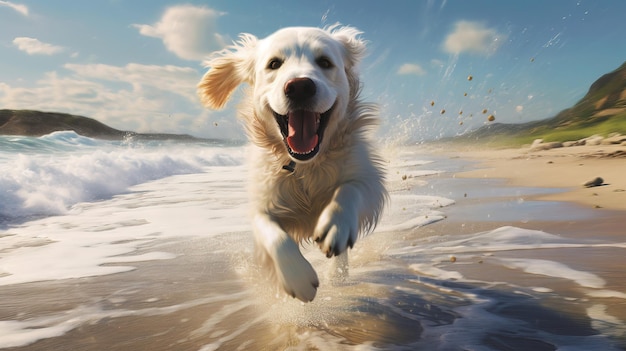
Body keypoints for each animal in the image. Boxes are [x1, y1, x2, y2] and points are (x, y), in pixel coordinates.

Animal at [199, 25, 386, 302]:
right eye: (274, 64)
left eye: (324, 62)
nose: (299, 87)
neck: (305, 165)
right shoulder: (263, 204)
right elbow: (273, 235)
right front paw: (298, 278)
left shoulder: (368, 178)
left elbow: (350, 190)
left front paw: (335, 225)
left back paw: (337, 273)